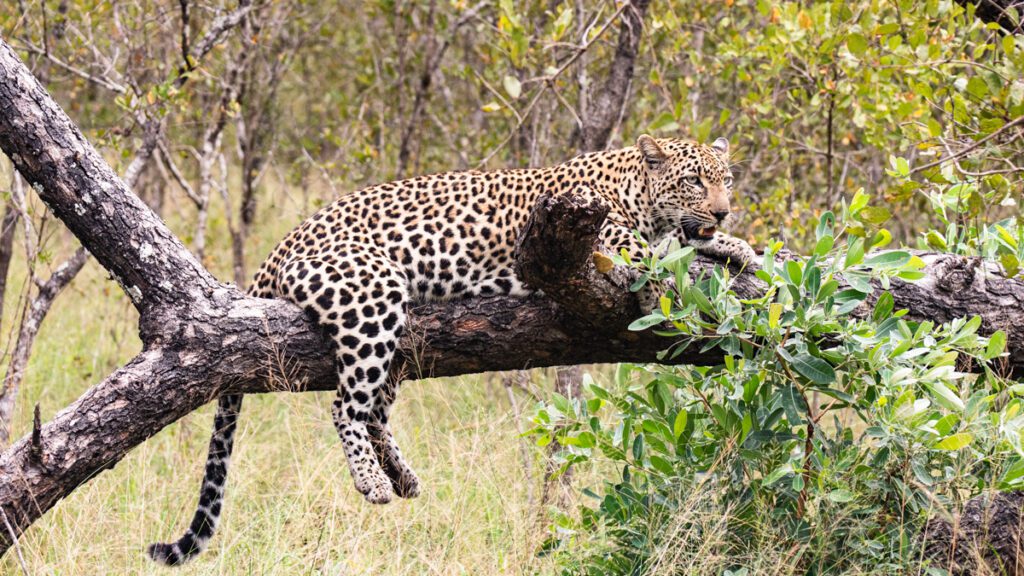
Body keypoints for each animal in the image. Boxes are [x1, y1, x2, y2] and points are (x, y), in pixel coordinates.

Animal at [147, 134, 757, 565]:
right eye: (695, 181)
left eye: (727, 180)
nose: (723, 210)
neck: (637, 191)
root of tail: (278, 250)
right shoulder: (613, 241)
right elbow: (662, 258)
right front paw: (686, 269)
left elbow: (692, 247)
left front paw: (742, 246)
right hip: (373, 296)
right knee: (345, 407)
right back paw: (373, 482)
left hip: (395, 337)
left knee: (374, 409)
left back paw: (403, 476)